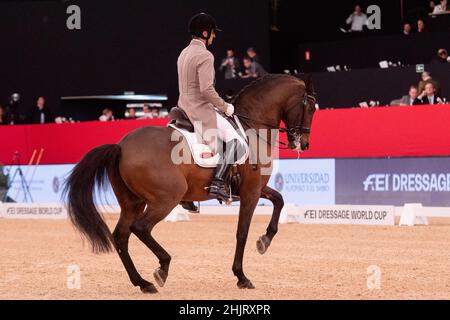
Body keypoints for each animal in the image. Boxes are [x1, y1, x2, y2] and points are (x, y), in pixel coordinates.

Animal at [63, 74, 316, 294]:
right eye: (311, 108)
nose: (303, 144)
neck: (252, 125)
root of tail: (121, 146)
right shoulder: (251, 191)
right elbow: (242, 232)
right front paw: (241, 276)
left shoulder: (254, 189)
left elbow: (279, 200)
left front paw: (265, 240)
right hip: (166, 198)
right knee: (141, 228)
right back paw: (162, 267)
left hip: (132, 203)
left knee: (121, 236)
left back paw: (143, 283)